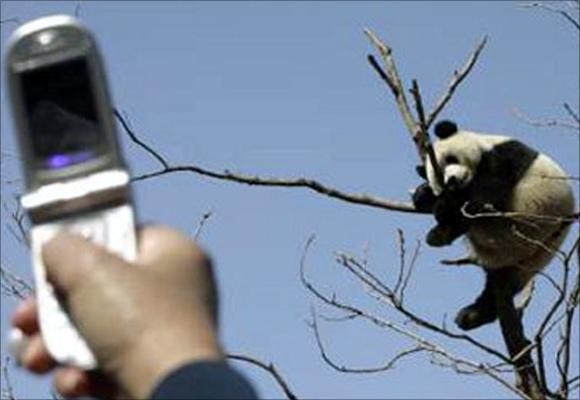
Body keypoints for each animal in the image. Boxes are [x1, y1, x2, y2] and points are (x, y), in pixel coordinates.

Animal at [412, 119, 576, 332]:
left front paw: (441, 204)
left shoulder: (501, 159)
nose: (452, 181)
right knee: (495, 285)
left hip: (528, 220)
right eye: (439, 177)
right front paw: (423, 194)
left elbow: (483, 196)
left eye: (450, 159)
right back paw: (472, 314)